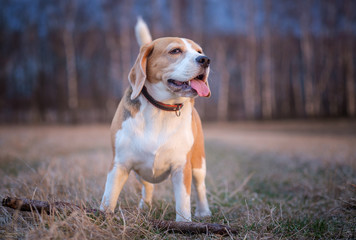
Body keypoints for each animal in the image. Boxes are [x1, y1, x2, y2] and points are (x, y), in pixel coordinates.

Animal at [100, 17, 211, 222]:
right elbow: (109, 197)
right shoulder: (119, 164)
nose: (206, 59)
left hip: (199, 163)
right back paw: (145, 206)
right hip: (139, 171)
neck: (161, 109)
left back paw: (203, 212)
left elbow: (183, 203)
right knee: (148, 186)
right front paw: (104, 218)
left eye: (199, 51)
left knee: (200, 187)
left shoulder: (181, 167)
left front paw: (184, 224)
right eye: (175, 51)